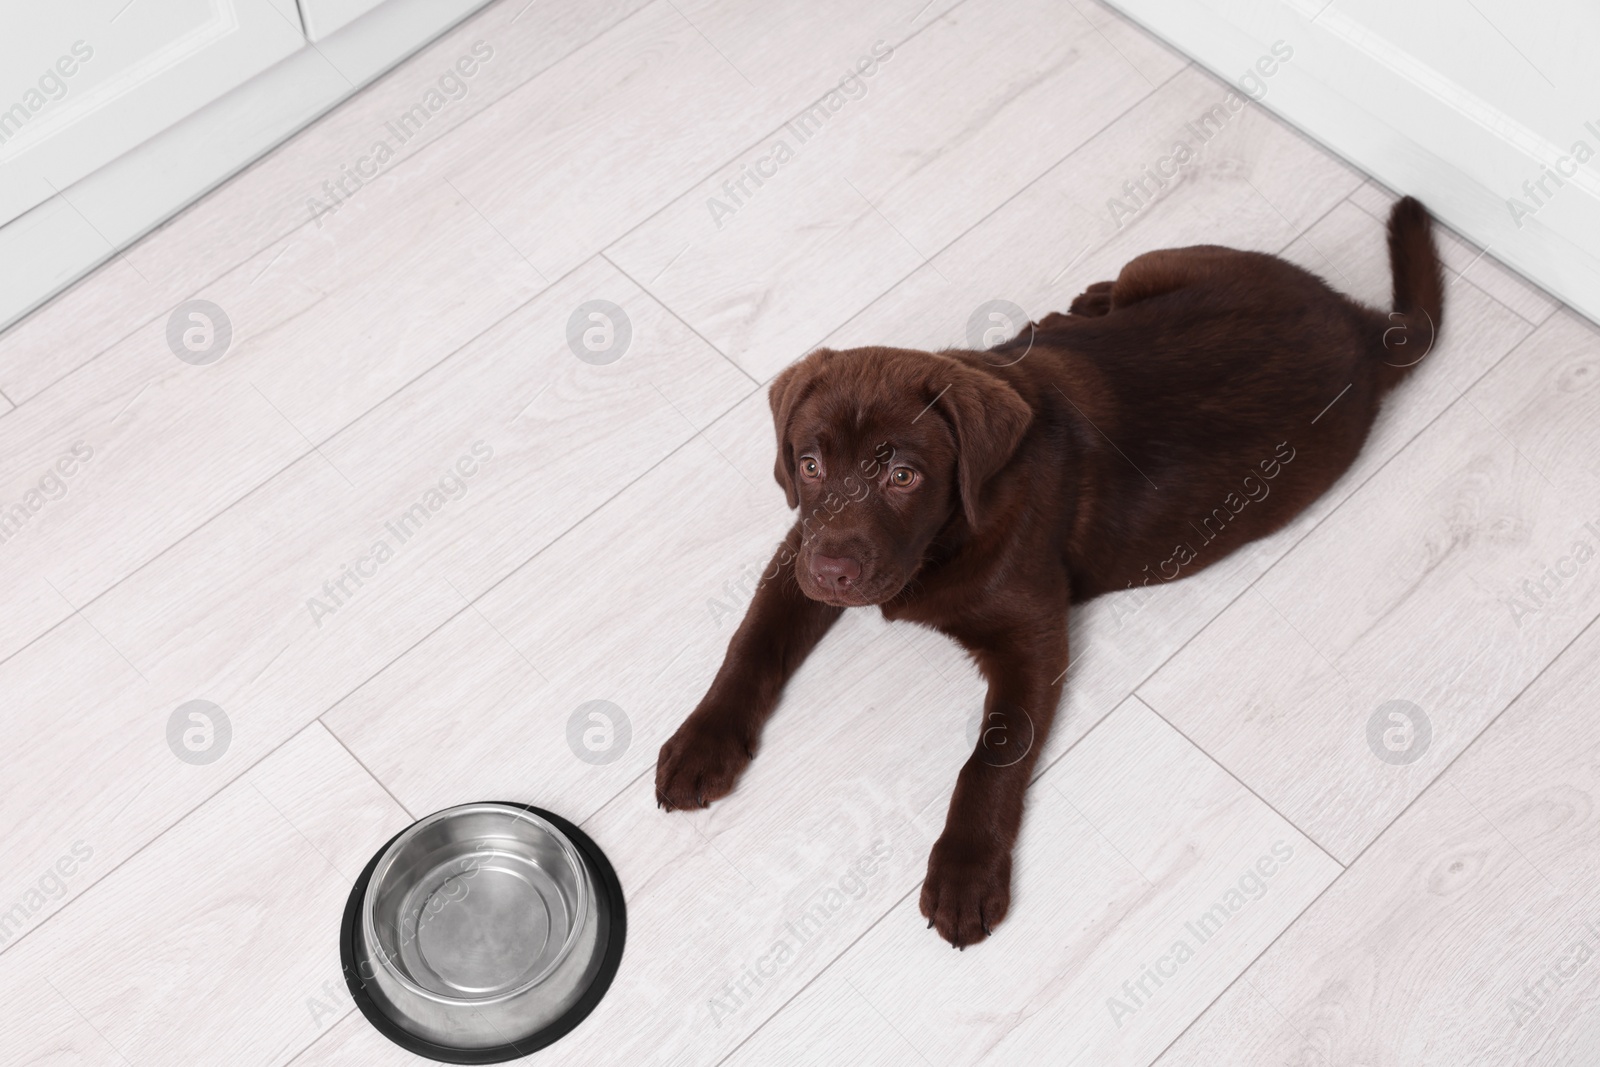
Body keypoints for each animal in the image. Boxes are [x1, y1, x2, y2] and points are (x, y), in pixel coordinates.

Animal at [656, 195, 1446, 947]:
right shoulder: (799, 546)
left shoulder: (1033, 634)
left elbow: (994, 754)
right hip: (1157, 263)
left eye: (904, 475)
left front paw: (965, 873)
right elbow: (752, 642)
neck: (941, 542)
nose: (835, 574)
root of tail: (1361, 326)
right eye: (810, 464)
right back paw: (1073, 310)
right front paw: (701, 742)